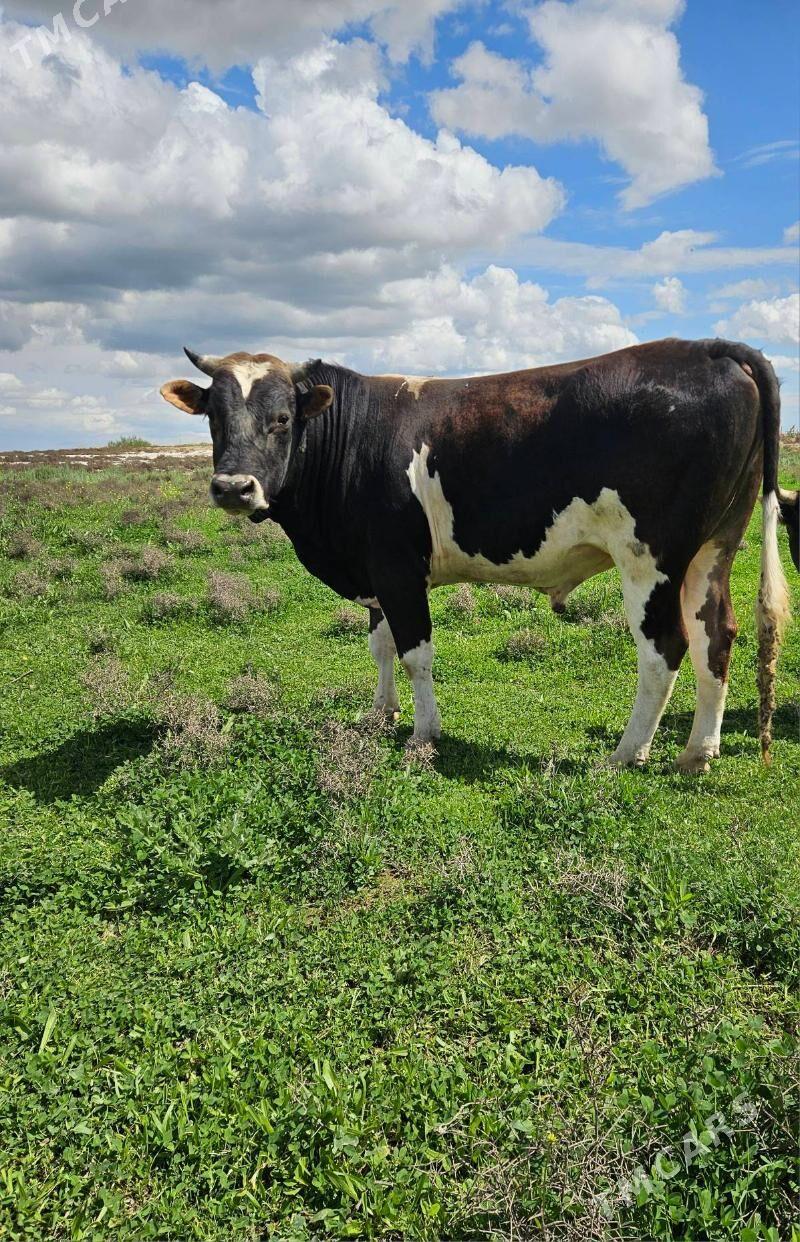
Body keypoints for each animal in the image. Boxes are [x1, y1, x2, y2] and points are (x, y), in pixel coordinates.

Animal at [161, 339, 797, 772]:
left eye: (282, 418)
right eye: (214, 417)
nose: (233, 487)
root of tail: (710, 348)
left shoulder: (397, 568)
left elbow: (415, 653)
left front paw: (423, 733)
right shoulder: (374, 569)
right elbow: (380, 646)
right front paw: (381, 715)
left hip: (651, 558)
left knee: (665, 647)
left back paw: (626, 753)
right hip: (714, 546)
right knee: (717, 634)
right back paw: (697, 752)